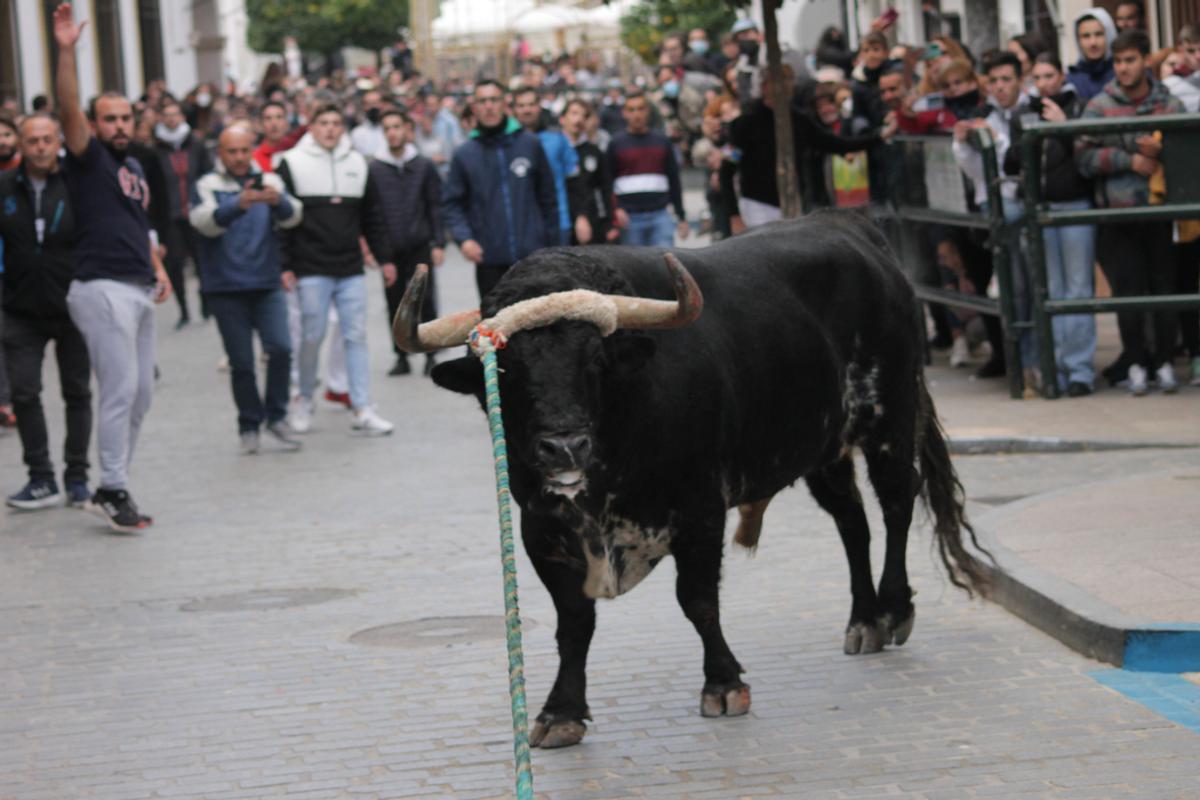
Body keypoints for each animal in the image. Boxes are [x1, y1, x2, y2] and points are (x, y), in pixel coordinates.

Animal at [398, 212, 988, 753]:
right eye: (505, 368)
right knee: (852, 521)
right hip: (824, 446)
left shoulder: (700, 510)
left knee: (896, 504)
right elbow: (574, 622)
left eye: (595, 359)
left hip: (889, 415)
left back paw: (893, 610)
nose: (564, 448)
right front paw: (560, 712)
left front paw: (723, 684)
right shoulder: (539, 531)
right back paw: (863, 620)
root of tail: (851, 226)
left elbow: (698, 600)